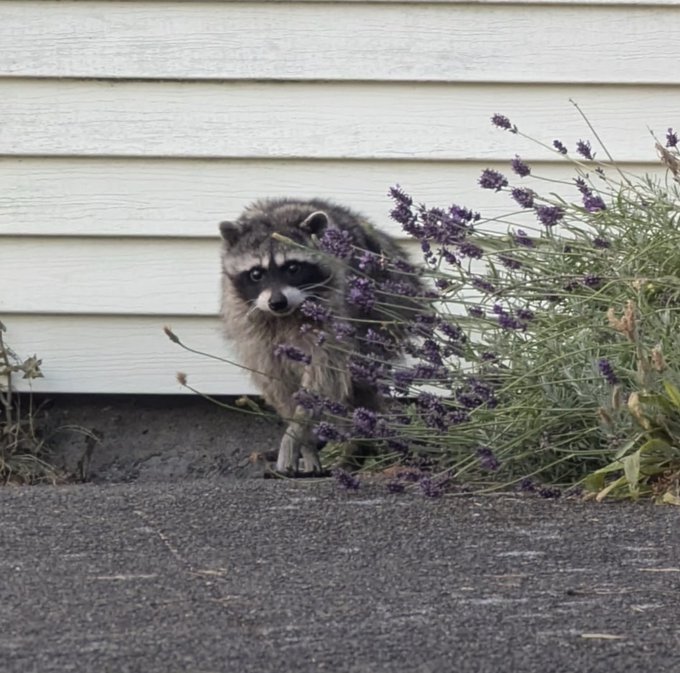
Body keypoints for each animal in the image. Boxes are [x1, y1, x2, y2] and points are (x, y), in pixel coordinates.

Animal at [219, 198, 422, 476]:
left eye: (293, 268)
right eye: (256, 274)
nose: (276, 302)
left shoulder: (334, 313)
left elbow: (325, 374)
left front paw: (298, 429)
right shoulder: (251, 326)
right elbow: (277, 382)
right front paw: (302, 438)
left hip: (381, 313)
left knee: (360, 389)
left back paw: (358, 446)